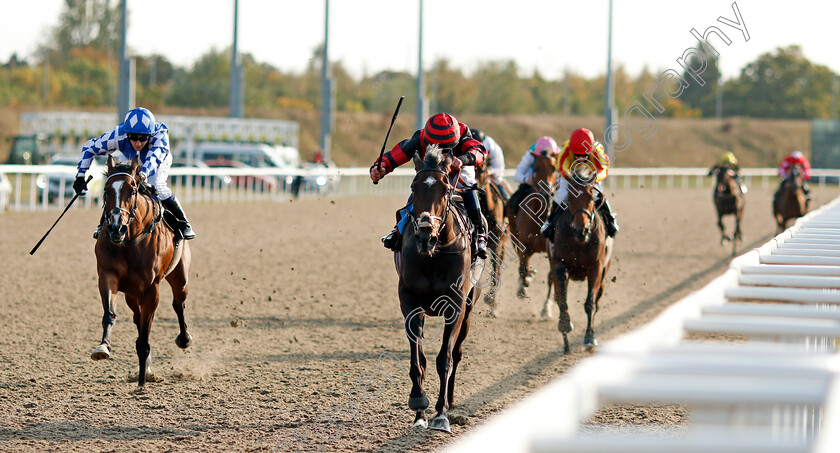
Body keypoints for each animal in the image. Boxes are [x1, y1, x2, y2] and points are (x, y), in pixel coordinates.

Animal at [92, 155, 193, 384]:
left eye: (132, 191)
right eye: (106, 190)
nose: (116, 227)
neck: (129, 240)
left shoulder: (151, 288)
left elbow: (145, 334)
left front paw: (141, 381)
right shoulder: (108, 276)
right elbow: (110, 313)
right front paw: (103, 347)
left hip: (179, 276)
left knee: (178, 304)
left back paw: (184, 339)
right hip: (132, 293)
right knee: (138, 317)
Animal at [398, 147, 482, 432]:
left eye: (445, 189)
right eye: (413, 187)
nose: (426, 236)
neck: (434, 256)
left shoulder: (455, 307)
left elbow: (444, 359)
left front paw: (441, 414)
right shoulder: (410, 303)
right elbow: (418, 360)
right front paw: (419, 407)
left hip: (469, 309)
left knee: (457, 353)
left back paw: (452, 401)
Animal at [506, 150, 556, 316]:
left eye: (554, 168)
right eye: (536, 168)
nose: (546, 193)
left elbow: (552, 276)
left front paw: (547, 307)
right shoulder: (523, 245)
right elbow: (523, 267)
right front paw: (524, 285)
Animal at [548, 169, 612, 354]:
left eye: (591, 197)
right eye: (570, 197)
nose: (580, 230)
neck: (579, 242)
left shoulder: (596, 268)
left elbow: (590, 304)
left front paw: (589, 337)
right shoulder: (559, 265)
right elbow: (562, 300)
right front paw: (565, 325)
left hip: (604, 274)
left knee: (597, 300)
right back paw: (566, 343)